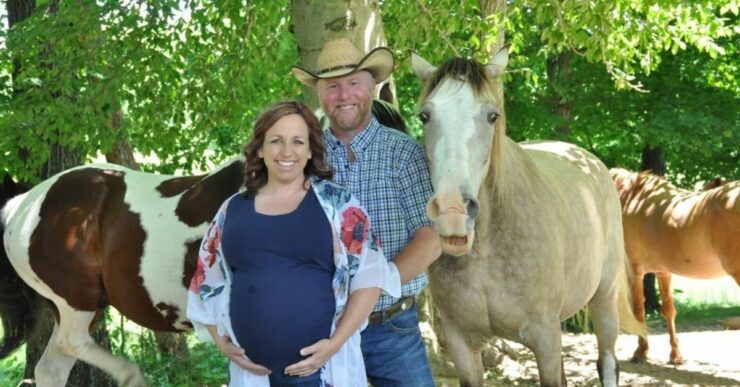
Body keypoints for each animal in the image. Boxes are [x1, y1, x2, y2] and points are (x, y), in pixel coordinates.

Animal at [0, 158, 243, 387]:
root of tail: (21, 205)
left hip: (76, 308)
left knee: (51, 369)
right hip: (77, 299)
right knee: (71, 343)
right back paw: (131, 376)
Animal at [414, 47, 644, 387]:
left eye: (492, 116)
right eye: (425, 116)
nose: (453, 211)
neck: (487, 250)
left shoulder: (544, 337)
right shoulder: (461, 345)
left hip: (604, 299)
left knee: (608, 363)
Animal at [608, 168, 736, 366]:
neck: (632, 200)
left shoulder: (635, 272)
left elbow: (639, 311)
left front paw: (641, 351)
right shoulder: (663, 271)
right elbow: (668, 310)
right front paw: (675, 355)